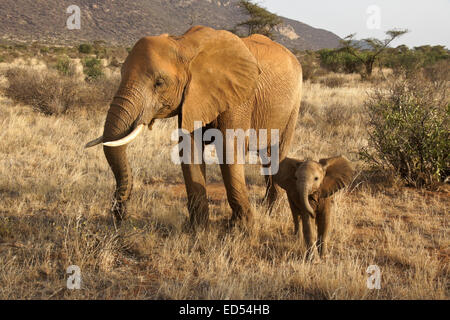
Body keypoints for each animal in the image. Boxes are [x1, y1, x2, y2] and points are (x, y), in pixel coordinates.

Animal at [85, 26, 302, 229]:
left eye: (159, 83)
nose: (120, 214)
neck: (183, 44)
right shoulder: (190, 98)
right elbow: (190, 150)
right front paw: (198, 229)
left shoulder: (238, 98)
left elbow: (228, 151)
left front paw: (240, 228)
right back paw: (266, 207)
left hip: (293, 106)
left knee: (276, 153)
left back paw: (272, 211)